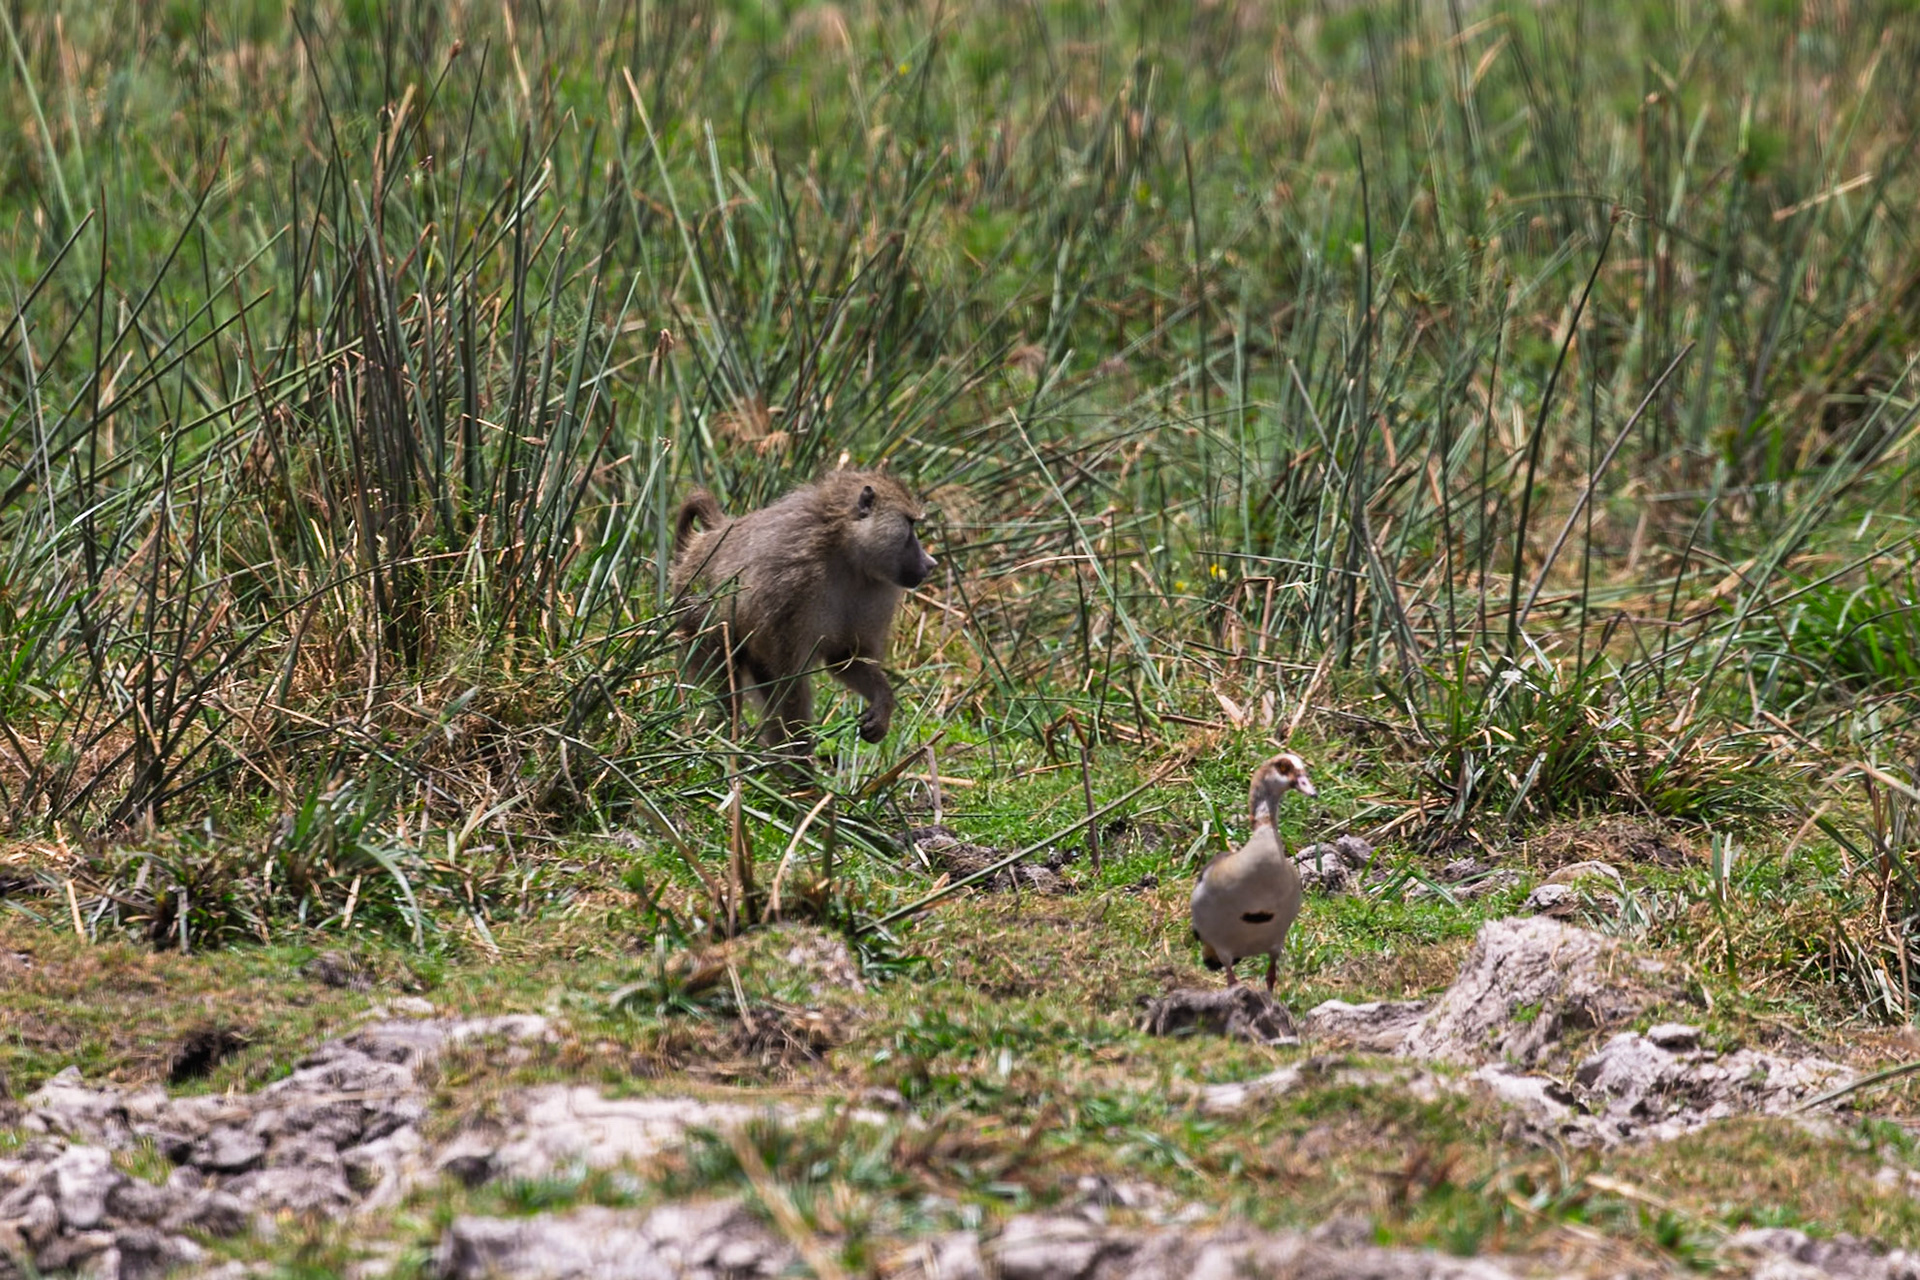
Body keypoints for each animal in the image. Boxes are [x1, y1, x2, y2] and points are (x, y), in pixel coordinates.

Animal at [667, 469, 938, 759]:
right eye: (910, 524)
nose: (931, 564)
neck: (846, 554)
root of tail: (704, 542)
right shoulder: (790, 585)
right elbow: (789, 678)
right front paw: (801, 761)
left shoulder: (876, 592)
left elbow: (845, 658)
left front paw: (882, 707)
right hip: (695, 616)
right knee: (724, 675)